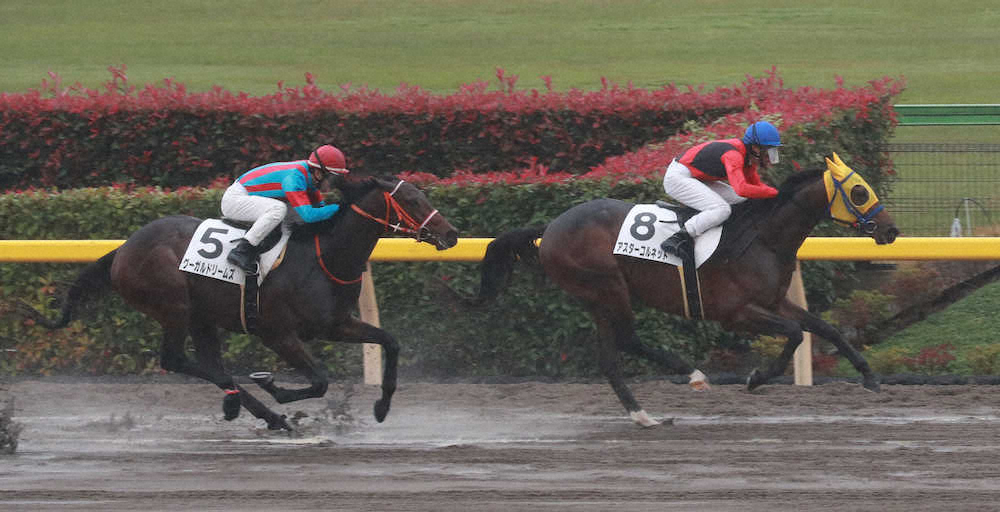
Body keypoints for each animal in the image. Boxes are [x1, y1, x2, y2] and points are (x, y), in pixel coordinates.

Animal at [20, 176, 458, 428]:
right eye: (413, 201)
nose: (451, 233)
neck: (323, 256)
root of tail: (122, 249)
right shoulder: (276, 333)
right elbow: (319, 380)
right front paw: (274, 387)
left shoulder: (336, 324)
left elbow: (390, 342)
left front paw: (382, 406)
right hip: (173, 306)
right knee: (177, 360)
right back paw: (266, 411)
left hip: (201, 315)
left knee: (209, 364)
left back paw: (244, 406)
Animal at [476, 154, 900, 426]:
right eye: (860, 192)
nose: (891, 230)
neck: (761, 238)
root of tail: (550, 227)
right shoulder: (737, 313)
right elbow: (796, 334)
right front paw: (756, 378)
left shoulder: (775, 301)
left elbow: (825, 328)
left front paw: (869, 376)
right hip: (606, 287)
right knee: (627, 340)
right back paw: (691, 375)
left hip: (596, 297)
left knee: (611, 357)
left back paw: (643, 416)